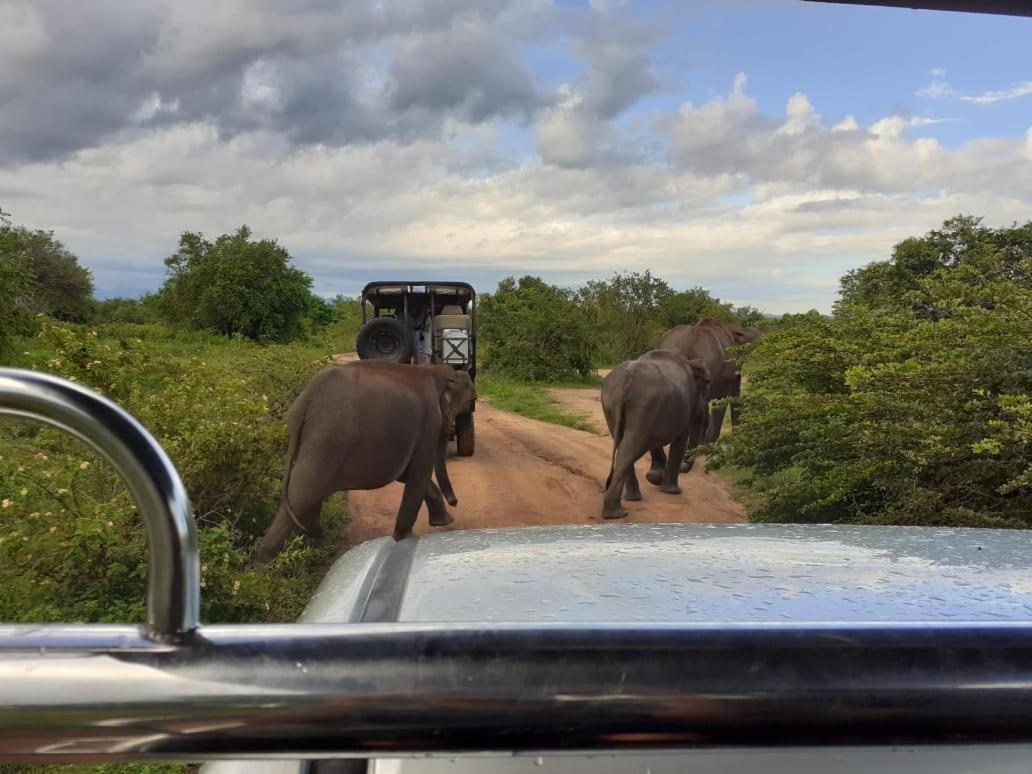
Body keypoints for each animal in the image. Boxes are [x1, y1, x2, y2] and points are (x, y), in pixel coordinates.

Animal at [253, 363, 474, 565]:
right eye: (469, 401)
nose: (455, 502)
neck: (434, 371)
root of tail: (306, 399)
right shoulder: (429, 423)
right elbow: (419, 474)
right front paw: (407, 539)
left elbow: (406, 474)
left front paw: (443, 523)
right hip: (327, 437)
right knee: (302, 494)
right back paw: (263, 566)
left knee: (309, 495)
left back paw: (317, 546)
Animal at [598, 350, 710, 522]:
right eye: (707, 385)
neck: (690, 363)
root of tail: (625, 382)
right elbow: (680, 438)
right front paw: (671, 491)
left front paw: (655, 477)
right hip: (644, 405)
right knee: (632, 446)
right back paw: (618, 513)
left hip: (611, 405)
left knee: (625, 444)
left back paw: (627, 503)